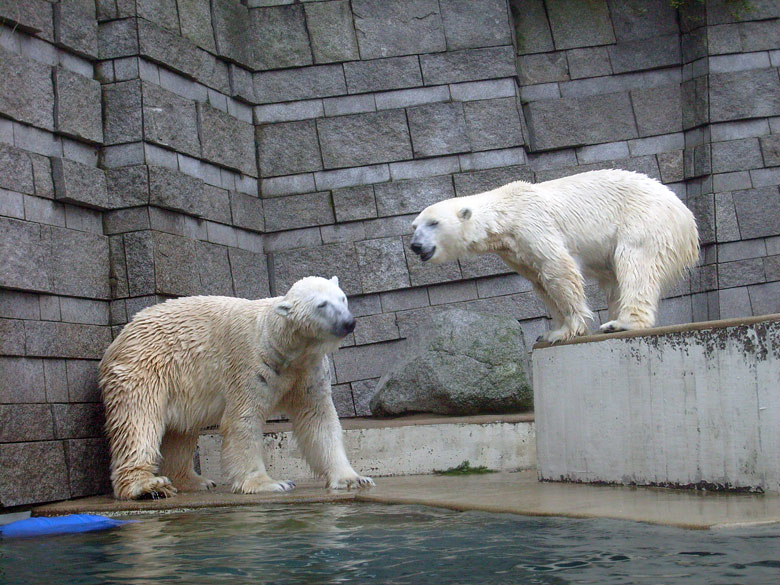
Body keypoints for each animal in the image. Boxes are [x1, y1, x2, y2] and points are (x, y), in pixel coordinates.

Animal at [98, 276, 374, 500]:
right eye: (322, 305)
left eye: (343, 298)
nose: (349, 322)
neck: (281, 345)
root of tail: (121, 335)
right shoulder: (250, 365)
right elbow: (243, 421)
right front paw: (270, 483)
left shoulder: (307, 371)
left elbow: (319, 420)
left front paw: (353, 478)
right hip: (144, 368)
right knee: (139, 421)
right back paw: (147, 486)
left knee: (181, 431)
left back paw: (194, 481)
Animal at [408, 169, 700, 342]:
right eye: (414, 226)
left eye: (433, 223)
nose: (415, 246)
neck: (505, 214)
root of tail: (686, 215)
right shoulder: (515, 251)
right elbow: (540, 282)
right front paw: (553, 330)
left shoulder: (533, 225)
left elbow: (558, 269)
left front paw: (568, 330)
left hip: (645, 221)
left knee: (635, 265)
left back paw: (622, 323)